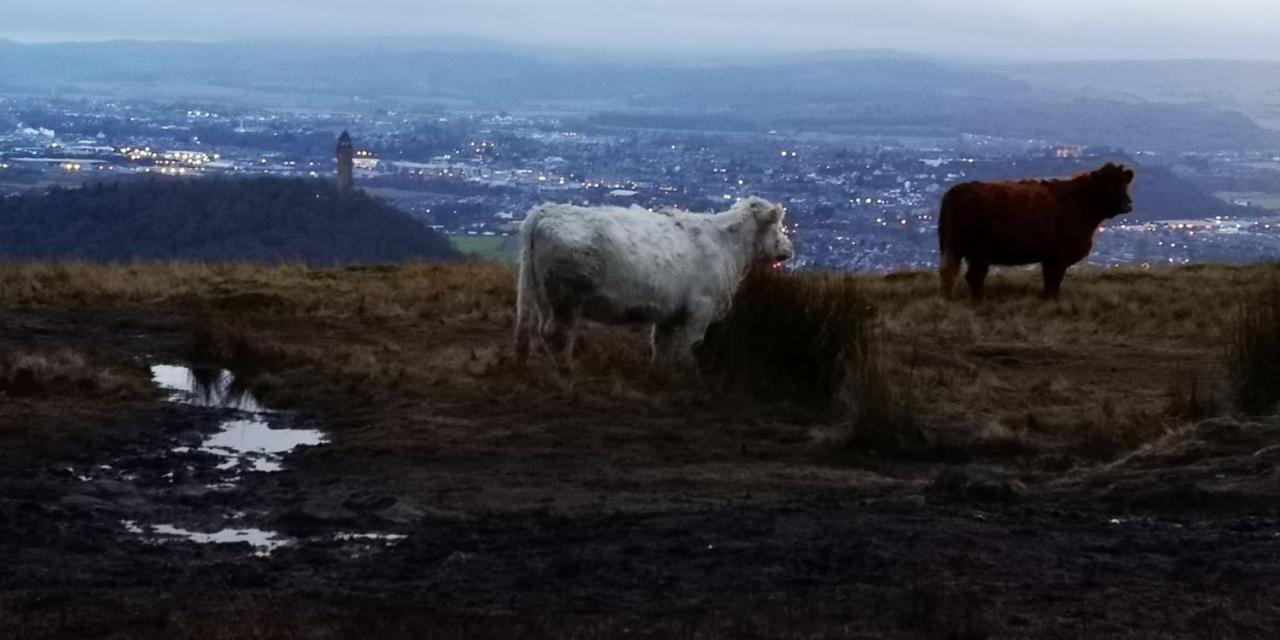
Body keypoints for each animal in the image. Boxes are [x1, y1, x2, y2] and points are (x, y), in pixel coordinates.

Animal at [509, 197, 788, 373]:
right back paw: (566, 368)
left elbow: (661, 346)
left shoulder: (668, 314)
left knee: (533, 329)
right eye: (778, 226)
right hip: (565, 300)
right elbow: (692, 346)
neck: (727, 245)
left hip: (538, 295)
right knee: (556, 334)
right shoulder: (701, 309)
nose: (789, 248)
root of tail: (546, 210)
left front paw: (660, 373)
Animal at [936, 161, 1136, 298]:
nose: (1127, 205)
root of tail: (956, 191)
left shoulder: (1049, 258)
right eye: (1109, 185)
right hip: (979, 253)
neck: (1080, 202)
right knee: (973, 277)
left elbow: (1050, 282)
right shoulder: (1057, 258)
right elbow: (1053, 282)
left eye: (1124, 183)